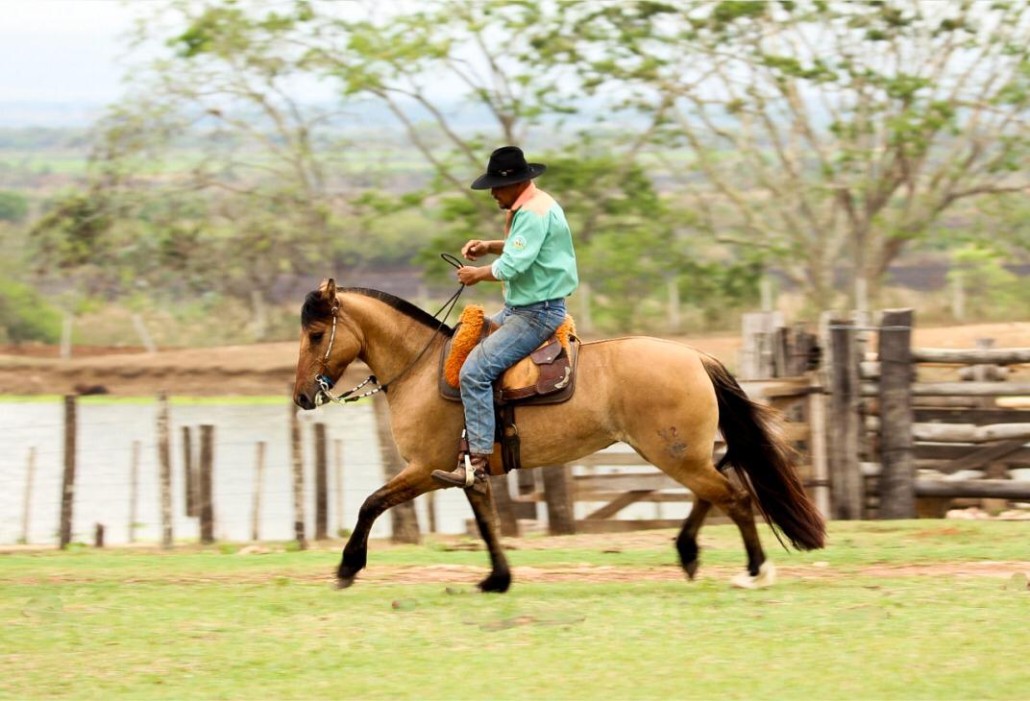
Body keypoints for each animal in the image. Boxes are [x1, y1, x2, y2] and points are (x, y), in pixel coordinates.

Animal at [294, 277, 824, 588]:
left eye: (317, 335)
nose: (300, 396)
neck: (424, 368)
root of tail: (695, 356)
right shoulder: (465, 471)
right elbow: (486, 521)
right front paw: (498, 578)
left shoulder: (425, 469)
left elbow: (370, 504)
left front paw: (348, 566)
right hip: (681, 454)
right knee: (714, 492)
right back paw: (689, 553)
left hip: (674, 453)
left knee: (733, 497)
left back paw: (754, 571)